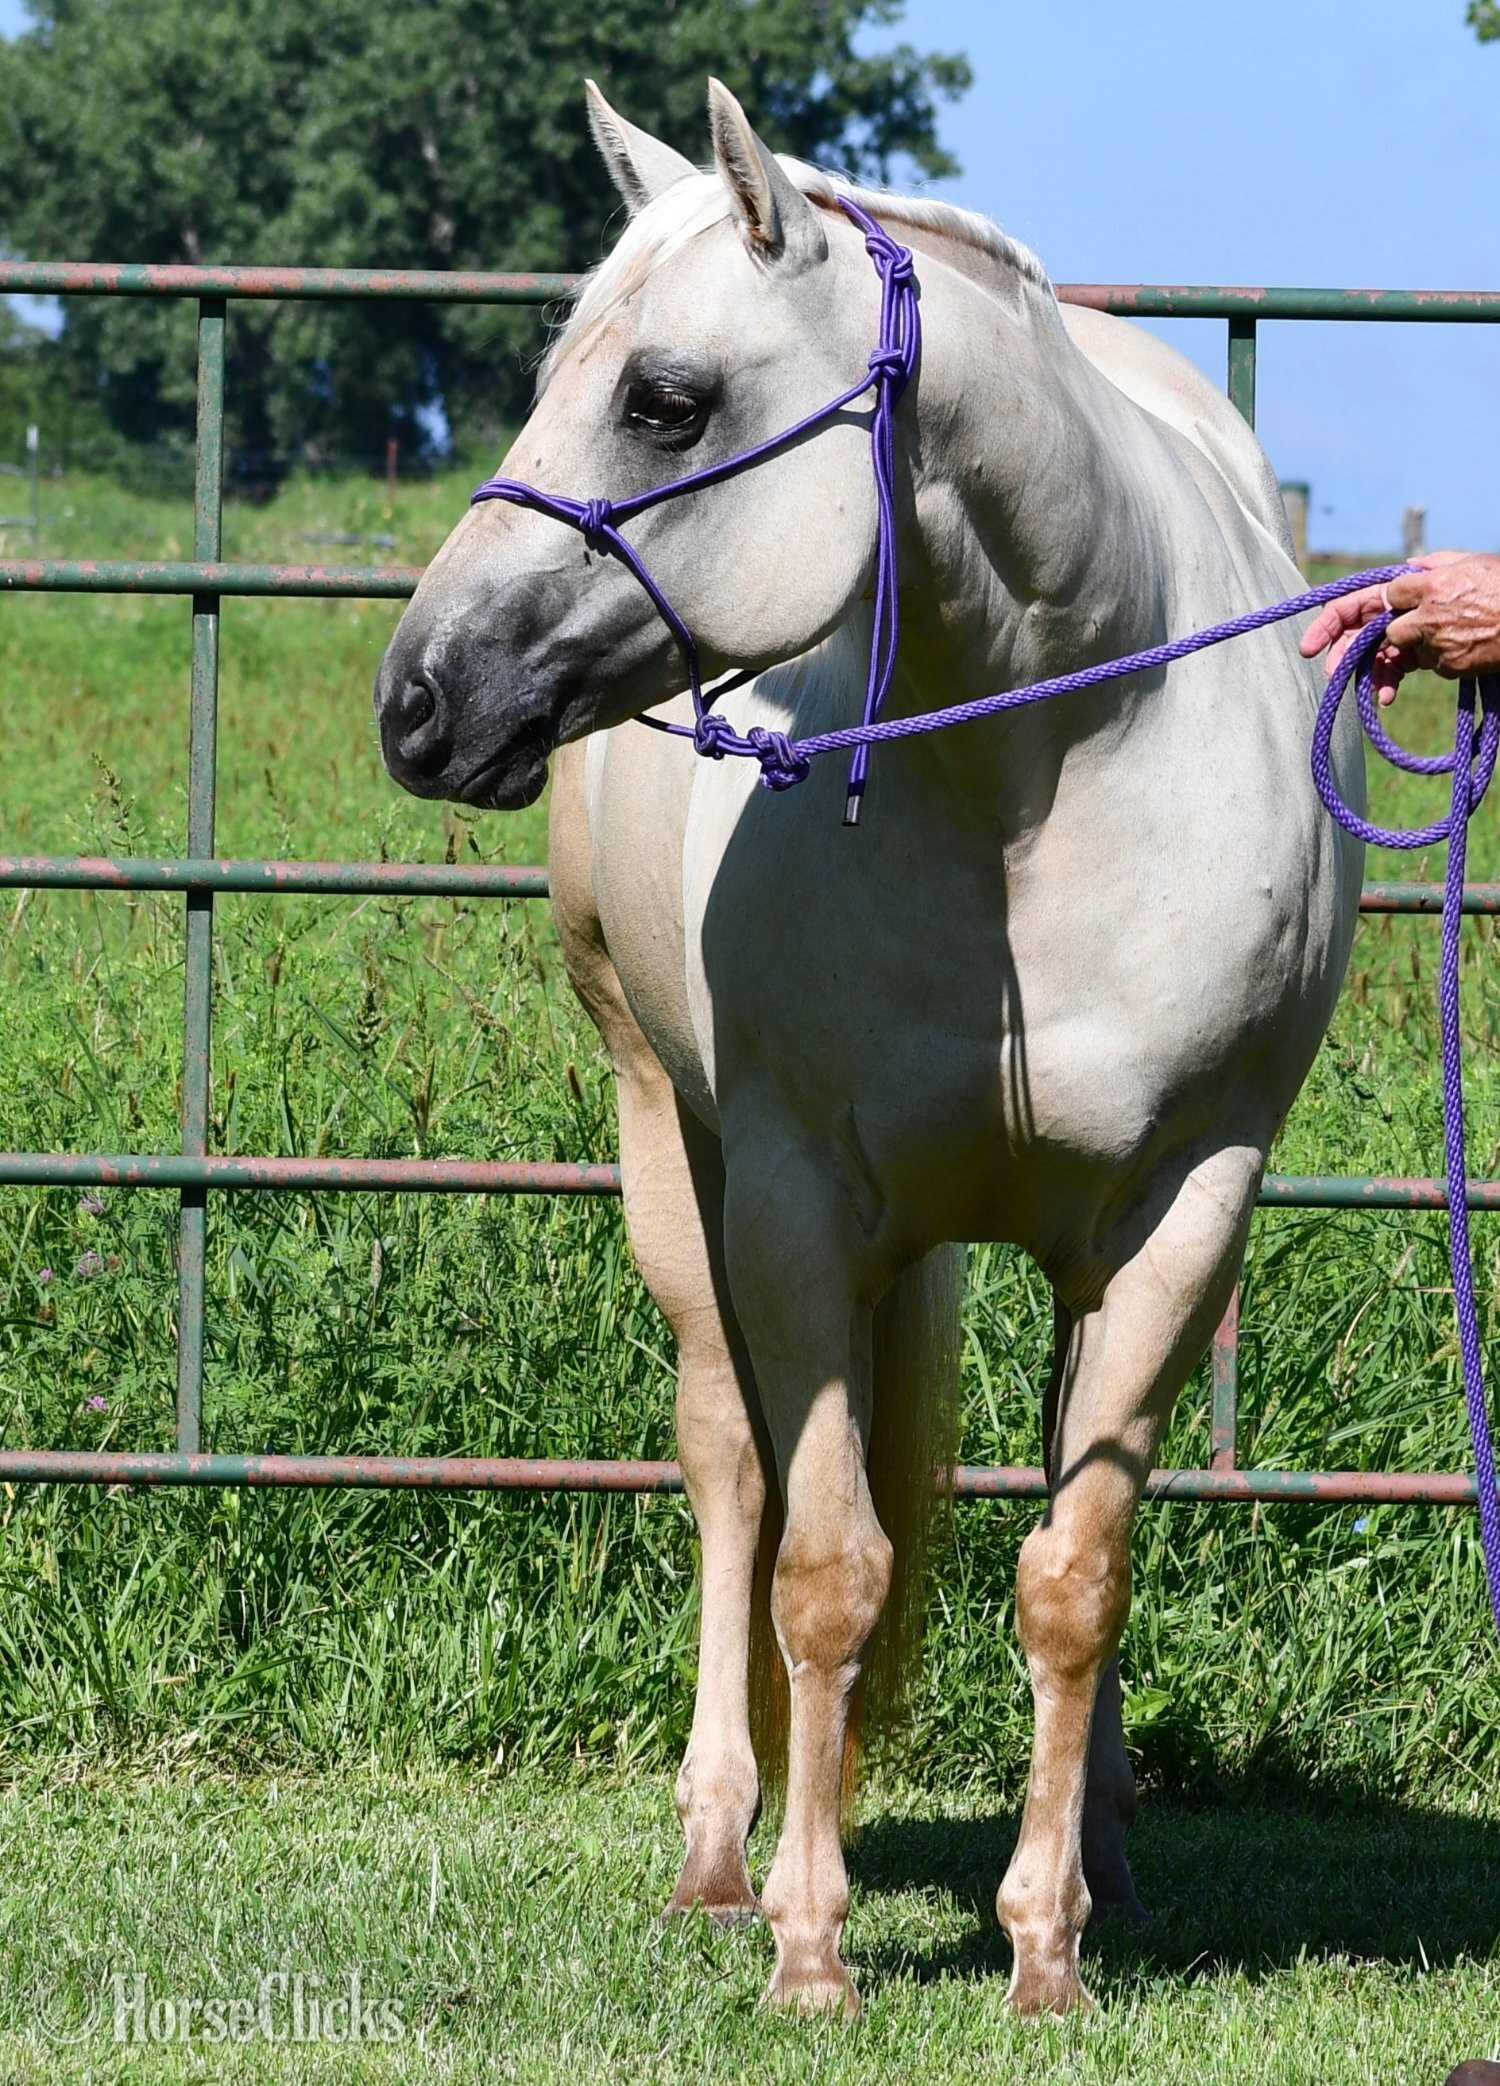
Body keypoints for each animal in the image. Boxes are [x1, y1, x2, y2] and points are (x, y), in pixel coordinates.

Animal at [374, 78, 1364, 2019]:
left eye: (664, 397)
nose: (418, 698)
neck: (1042, 780)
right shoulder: (798, 1201)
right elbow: (824, 1569)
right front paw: (811, 1943)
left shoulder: (1183, 1211)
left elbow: (1077, 1572)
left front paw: (1046, 1948)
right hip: (667, 1149)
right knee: (729, 1468)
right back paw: (717, 1852)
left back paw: (1103, 1852)